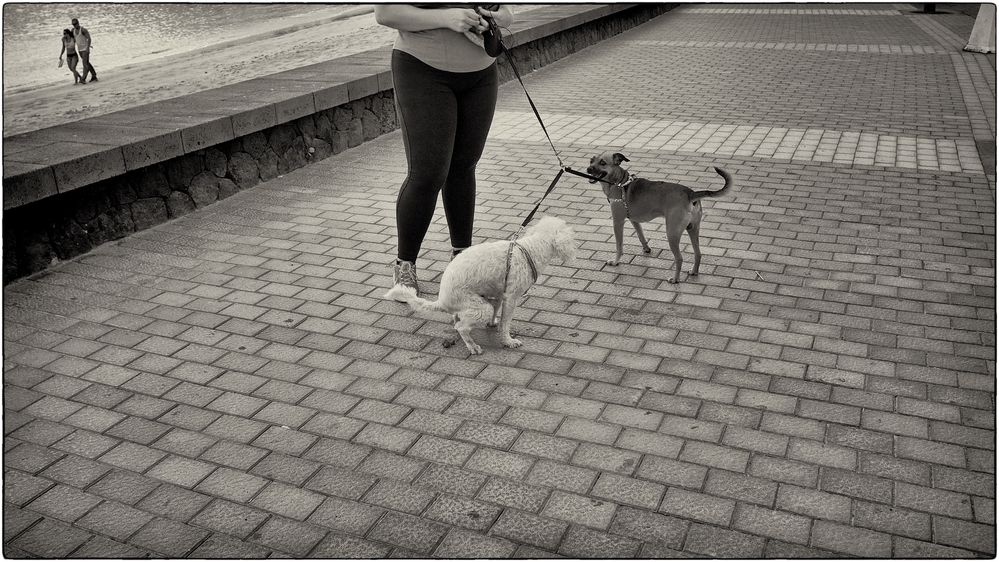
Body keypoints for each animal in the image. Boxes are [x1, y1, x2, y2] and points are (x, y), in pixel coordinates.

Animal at [388, 215, 584, 352]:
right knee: (461, 327)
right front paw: (508, 341)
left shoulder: (499, 294)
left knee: (460, 318)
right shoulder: (511, 297)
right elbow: (506, 323)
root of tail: (442, 300)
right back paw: (472, 346)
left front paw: (493, 325)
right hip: (478, 306)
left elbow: (498, 313)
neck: (531, 249)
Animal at [584, 151, 736, 282]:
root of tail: (690, 194)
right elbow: (641, 235)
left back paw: (675, 279)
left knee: (679, 258)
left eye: (602, 163)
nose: (588, 169)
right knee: (698, 253)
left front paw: (615, 262)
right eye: (591, 160)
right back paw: (694, 272)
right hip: (693, 229)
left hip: (672, 233)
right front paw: (646, 249)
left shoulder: (618, 222)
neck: (620, 182)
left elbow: (619, 246)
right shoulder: (634, 220)